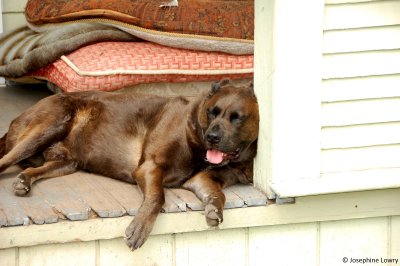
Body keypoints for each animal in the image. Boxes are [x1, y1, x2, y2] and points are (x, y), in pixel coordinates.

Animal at [0, 79, 260, 249]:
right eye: (212, 112)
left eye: (236, 118)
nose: (212, 137)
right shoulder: (150, 167)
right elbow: (157, 197)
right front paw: (139, 228)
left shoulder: (201, 179)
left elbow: (217, 193)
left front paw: (214, 208)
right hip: (49, 125)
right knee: (5, 160)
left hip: (67, 162)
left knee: (35, 168)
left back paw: (24, 180)